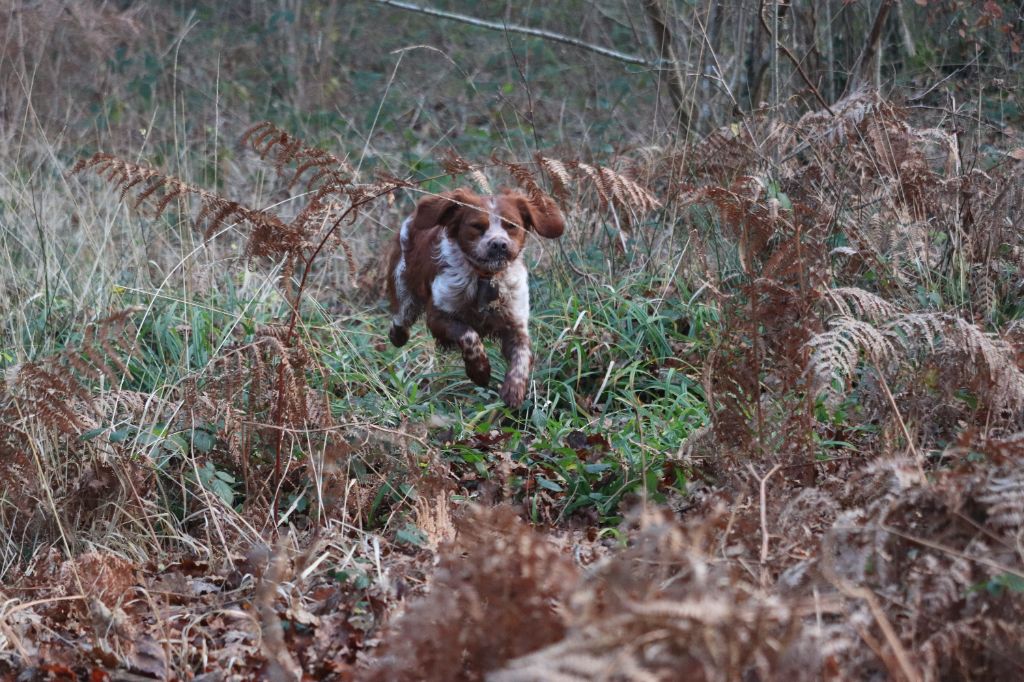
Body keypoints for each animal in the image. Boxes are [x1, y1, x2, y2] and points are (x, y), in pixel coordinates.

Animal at [385, 186, 565, 405]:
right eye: (477, 226)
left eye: (511, 225)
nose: (499, 244)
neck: (485, 277)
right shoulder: (438, 316)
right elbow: (469, 334)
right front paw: (480, 371)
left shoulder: (515, 323)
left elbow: (522, 356)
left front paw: (514, 389)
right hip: (405, 293)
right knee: (400, 320)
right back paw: (398, 336)